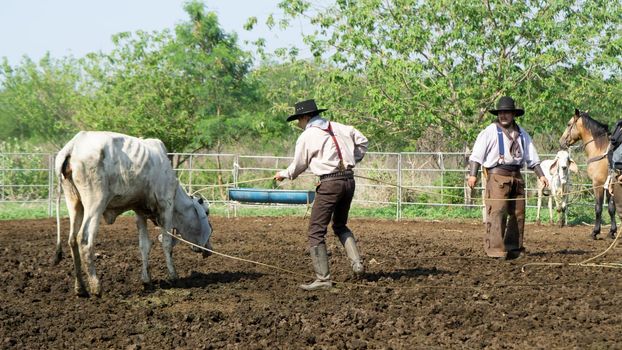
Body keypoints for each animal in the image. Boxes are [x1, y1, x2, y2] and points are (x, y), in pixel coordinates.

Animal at [54, 131, 214, 296]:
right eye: (207, 212)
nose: (209, 250)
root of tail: (74, 144)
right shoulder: (166, 207)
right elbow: (167, 243)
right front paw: (173, 276)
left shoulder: (140, 213)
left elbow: (144, 245)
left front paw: (146, 280)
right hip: (95, 203)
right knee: (84, 240)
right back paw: (96, 287)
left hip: (74, 202)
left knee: (72, 240)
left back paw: (80, 288)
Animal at [564, 108, 616, 239]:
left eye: (568, 124)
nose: (561, 141)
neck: (600, 150)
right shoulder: (609, 186)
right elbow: (611, 208)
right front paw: (612, 232)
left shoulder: (597, 184)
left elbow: (598, 208)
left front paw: (595, 232)